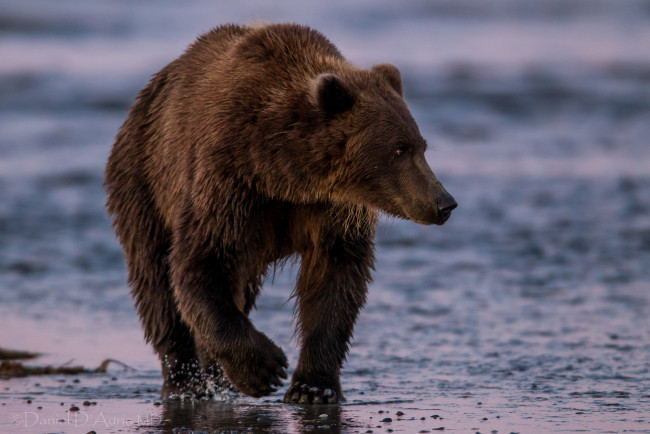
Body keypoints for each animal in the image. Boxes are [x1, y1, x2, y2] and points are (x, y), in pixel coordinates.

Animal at [104, 22, 456, 404]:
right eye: (399, 150)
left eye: (422, 146)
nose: (444, 202)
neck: (286, 172)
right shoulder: (228, 182)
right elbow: (202, 262)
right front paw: (265, 368)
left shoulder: (330, 211)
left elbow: (334, 282)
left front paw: (313, 386)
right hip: (143, 180)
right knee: (155, 281)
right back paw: (187, 380)